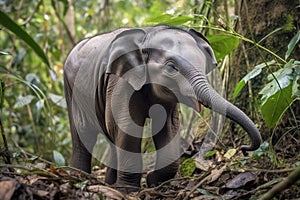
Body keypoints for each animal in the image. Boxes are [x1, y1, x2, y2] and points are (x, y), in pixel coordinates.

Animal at [64, 25, 262, 192]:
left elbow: (169, 128)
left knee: (110, 134)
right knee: (83, 133)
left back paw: (108, 183)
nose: (244, 148)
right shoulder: (121, 83)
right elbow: (127, 126)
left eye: (203, 64)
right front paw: (128, 190)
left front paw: (152, 181)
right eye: (171, 67)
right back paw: (79, 178)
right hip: (72, 90)